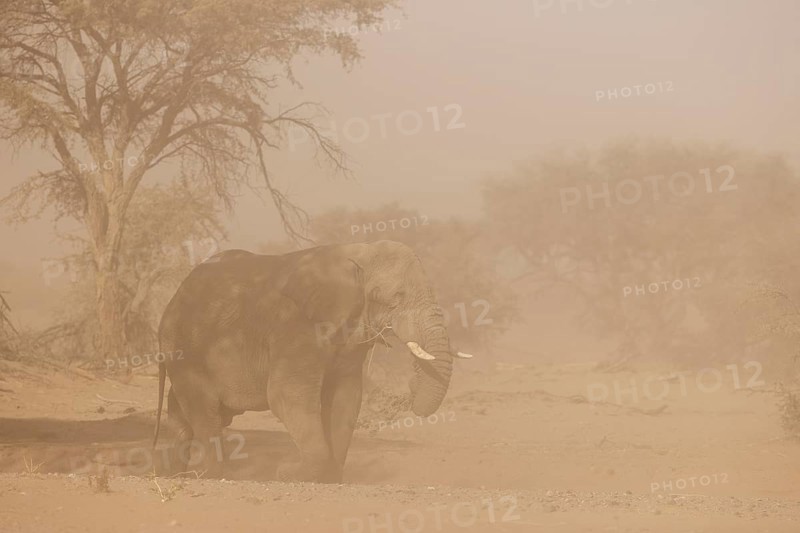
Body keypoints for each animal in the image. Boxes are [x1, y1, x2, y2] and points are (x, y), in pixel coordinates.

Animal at [152, 240, 472, 482]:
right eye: (394, 297)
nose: (412, 384)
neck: (356, 252)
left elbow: (346, 398)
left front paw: (331, 478)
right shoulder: (296, 326)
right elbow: (286, 394)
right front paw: (288, 473)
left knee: (187, 410)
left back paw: (174, 474)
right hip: (184, 348)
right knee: (204, 411)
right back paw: (213, 475)